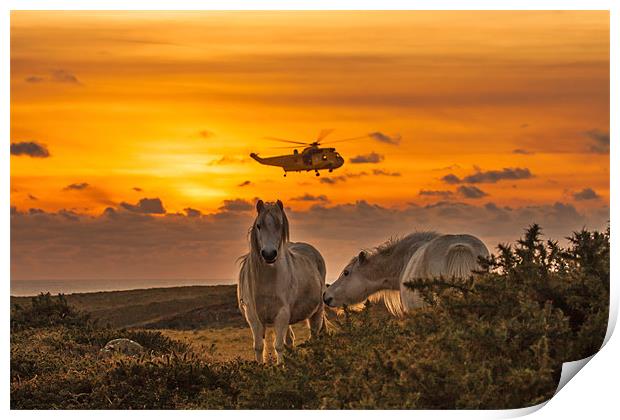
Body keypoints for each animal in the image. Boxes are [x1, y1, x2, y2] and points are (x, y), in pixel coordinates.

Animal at [237, 199, 326, 362]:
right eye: (259, 225)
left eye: (280, 225)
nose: (269, 254)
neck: (267, 281)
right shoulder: (253, 316)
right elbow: (259, 347)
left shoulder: (282, 314)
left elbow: (278, 346)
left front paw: (281, 366)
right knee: (290, 340)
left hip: (317, 312)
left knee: (315, 335)